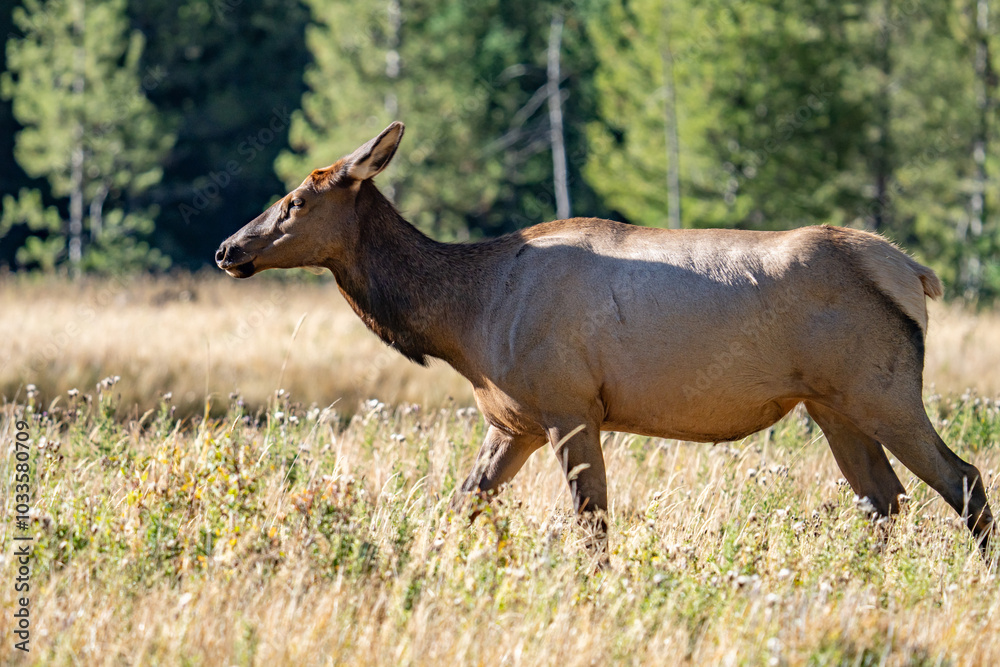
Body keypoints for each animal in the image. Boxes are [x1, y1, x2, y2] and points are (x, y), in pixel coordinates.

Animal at [216, 122, 993, 559]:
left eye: (295, 201)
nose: (228, 248)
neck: (464, 319)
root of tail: (913, 273)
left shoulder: (570, 406)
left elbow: (592, 526)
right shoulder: (515, 422)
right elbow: (464, 502)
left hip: (883, 388)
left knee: (962, 477)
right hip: (832, 404)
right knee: (885, 499)